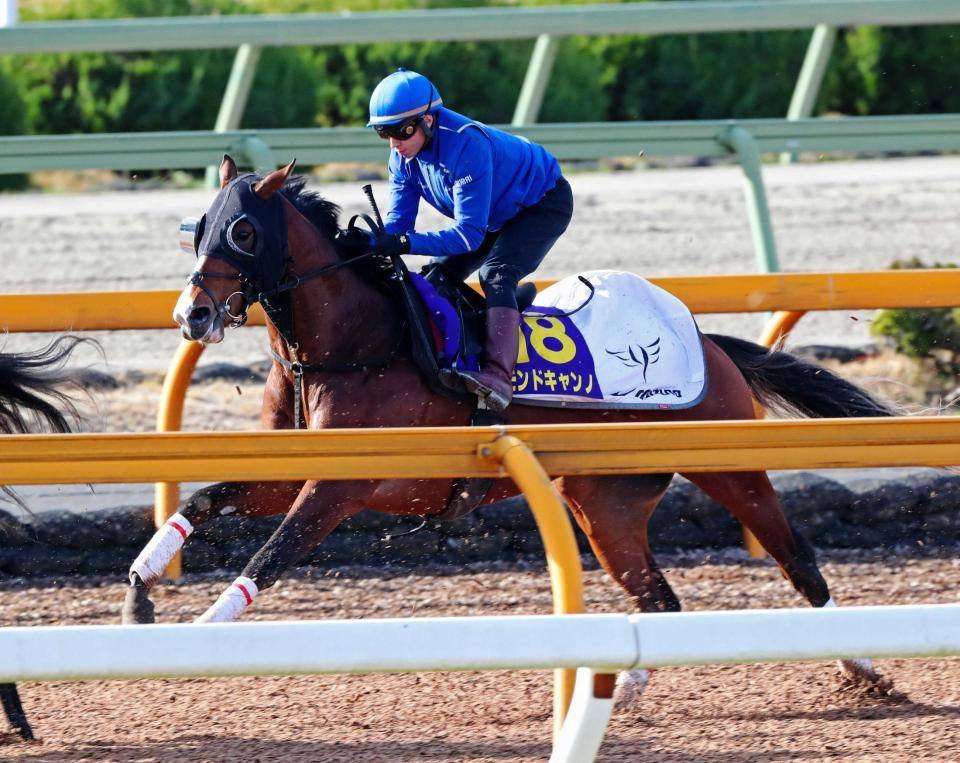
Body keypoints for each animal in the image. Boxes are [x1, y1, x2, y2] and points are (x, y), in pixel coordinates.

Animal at [124, 158, 896, 700]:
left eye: (244, 230)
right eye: (198, 225)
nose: (191, 314)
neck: (358, 340)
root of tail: (710, 342)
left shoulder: (343, 484)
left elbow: (271, 555)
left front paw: (198, 636)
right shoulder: (298, 468)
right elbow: (205, 501)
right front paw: (138, 592)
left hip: (730, 462)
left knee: (796, 559)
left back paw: (863, 665)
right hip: (604, 503)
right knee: (659, 596)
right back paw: (624, 685)